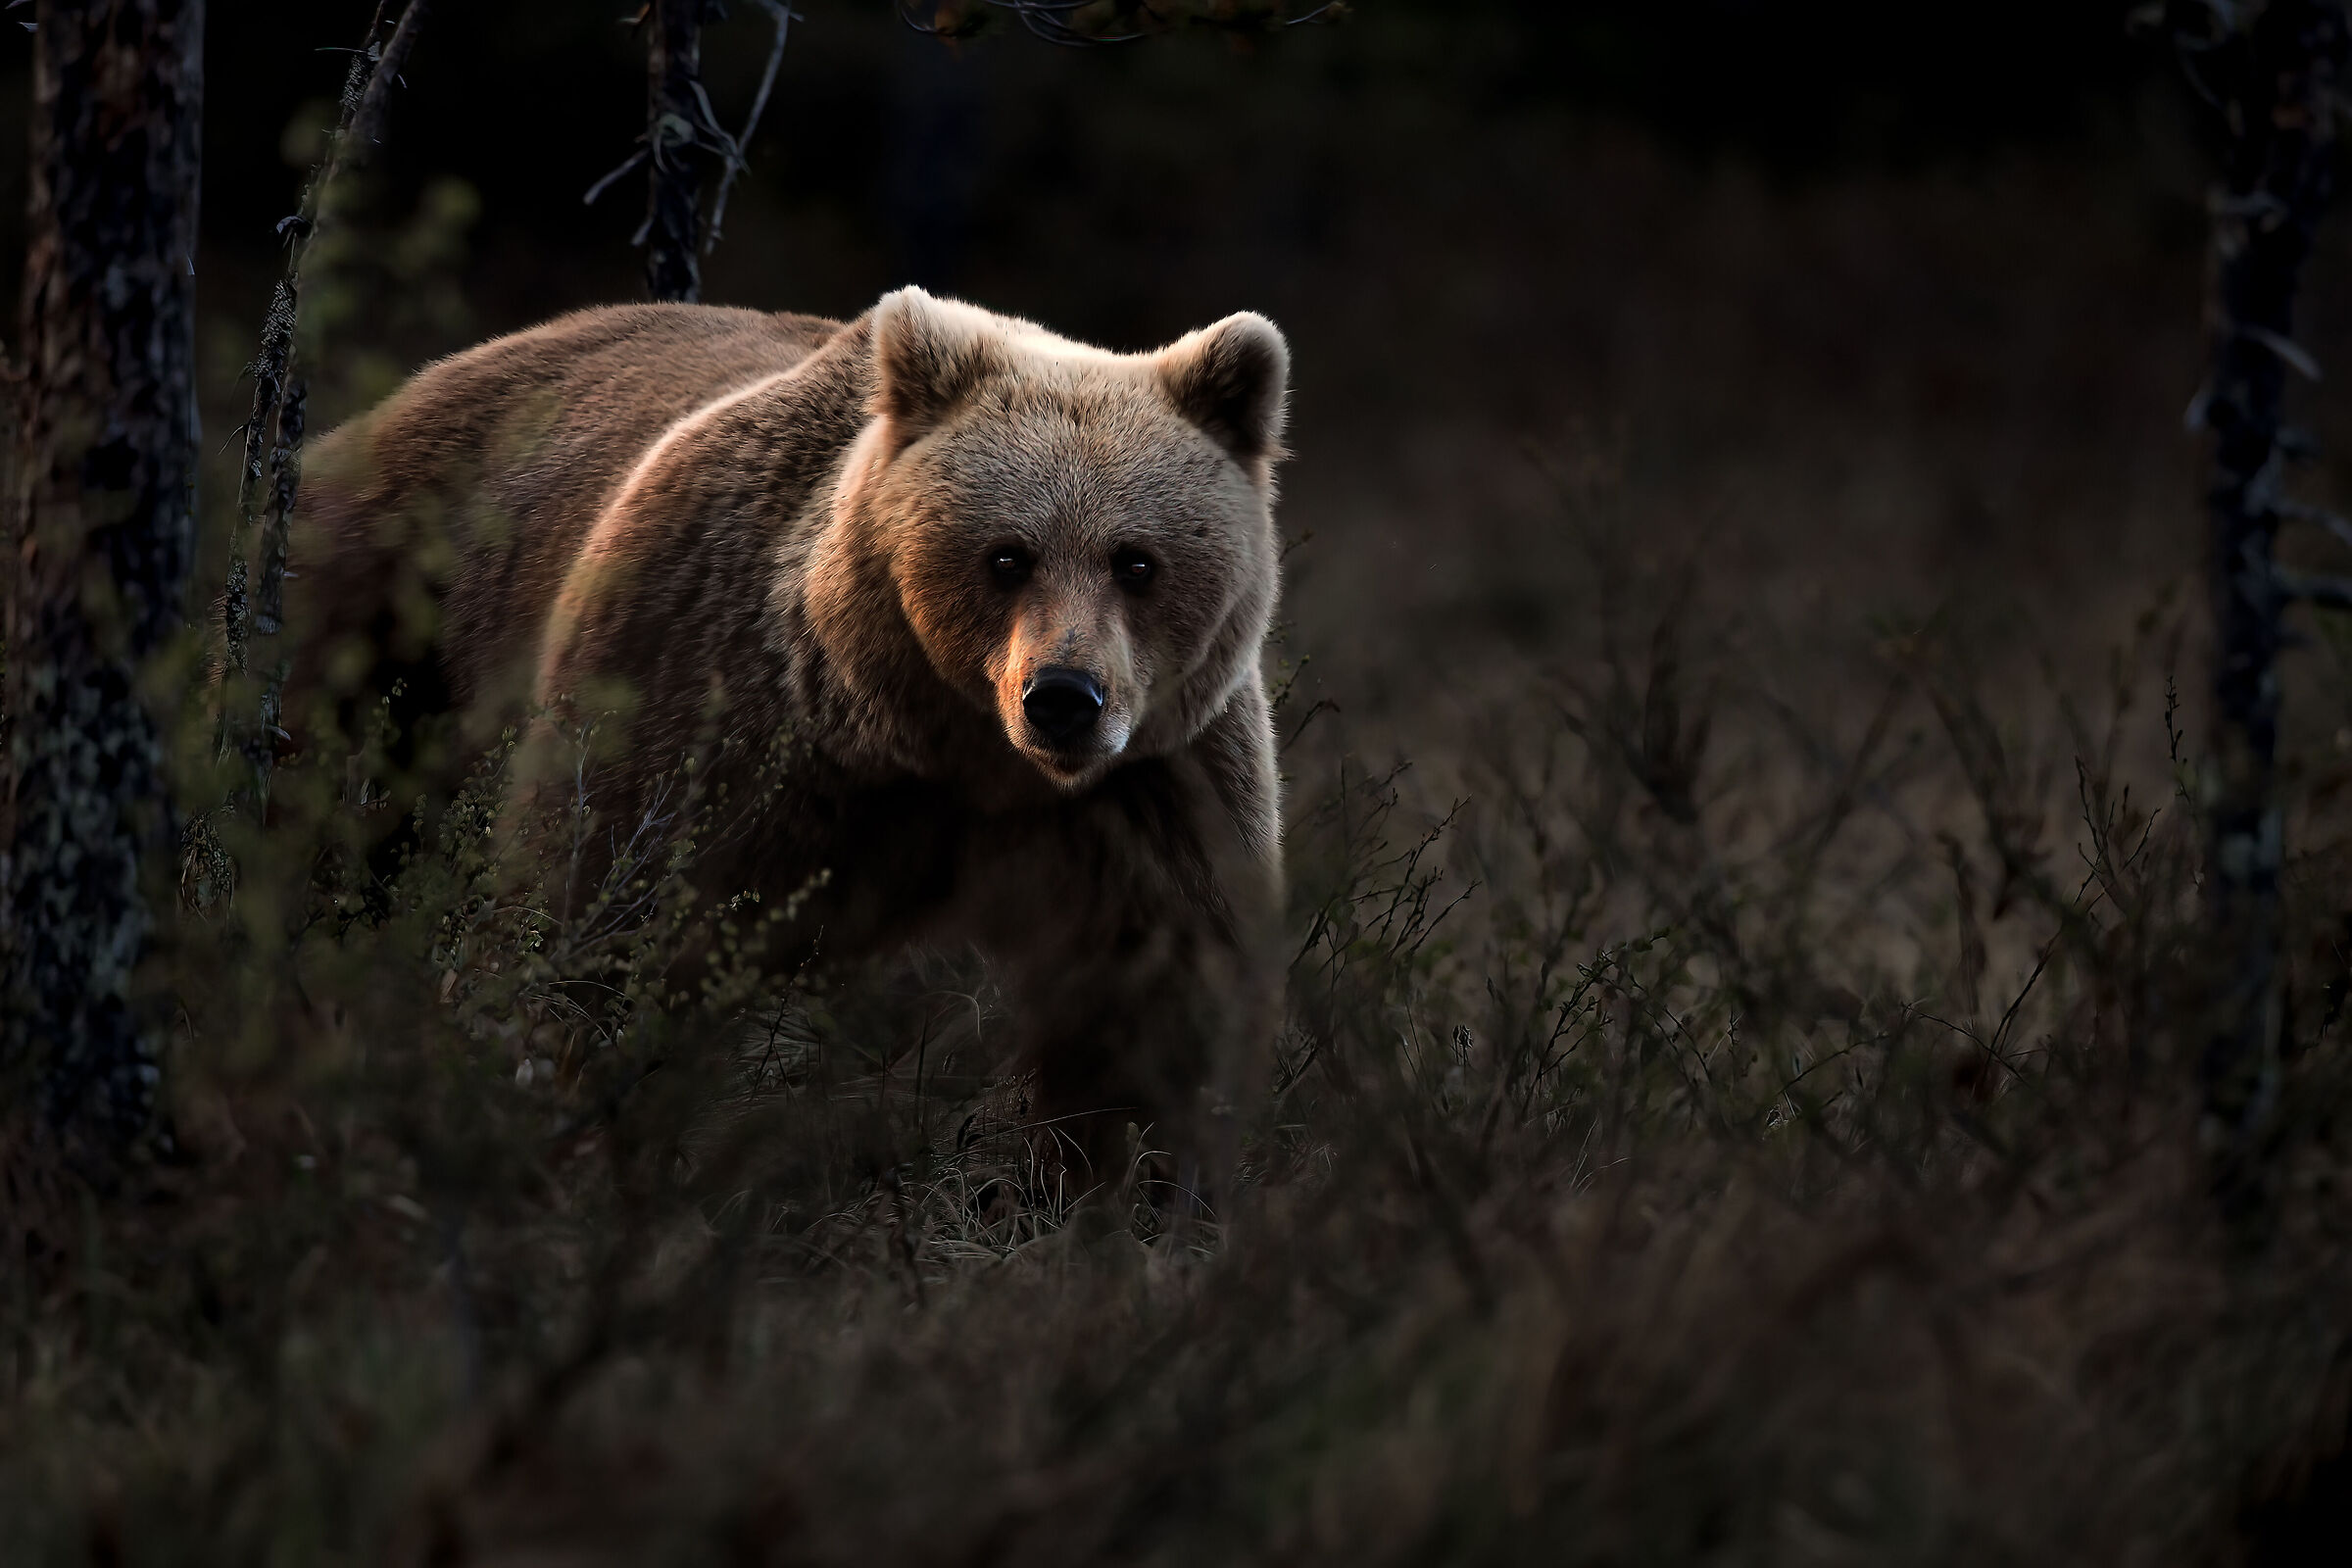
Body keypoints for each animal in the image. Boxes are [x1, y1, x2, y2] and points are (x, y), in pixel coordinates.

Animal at [289, 287, 1292, 1186]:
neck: (937, 743)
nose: (1063, 697)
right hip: (393, 617)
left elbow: (1154, 1010)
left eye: (1137, 561)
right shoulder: (713, 705)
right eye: (1008, 555)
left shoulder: (1153, 790)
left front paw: (1125, 1186)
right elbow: (604, 907)